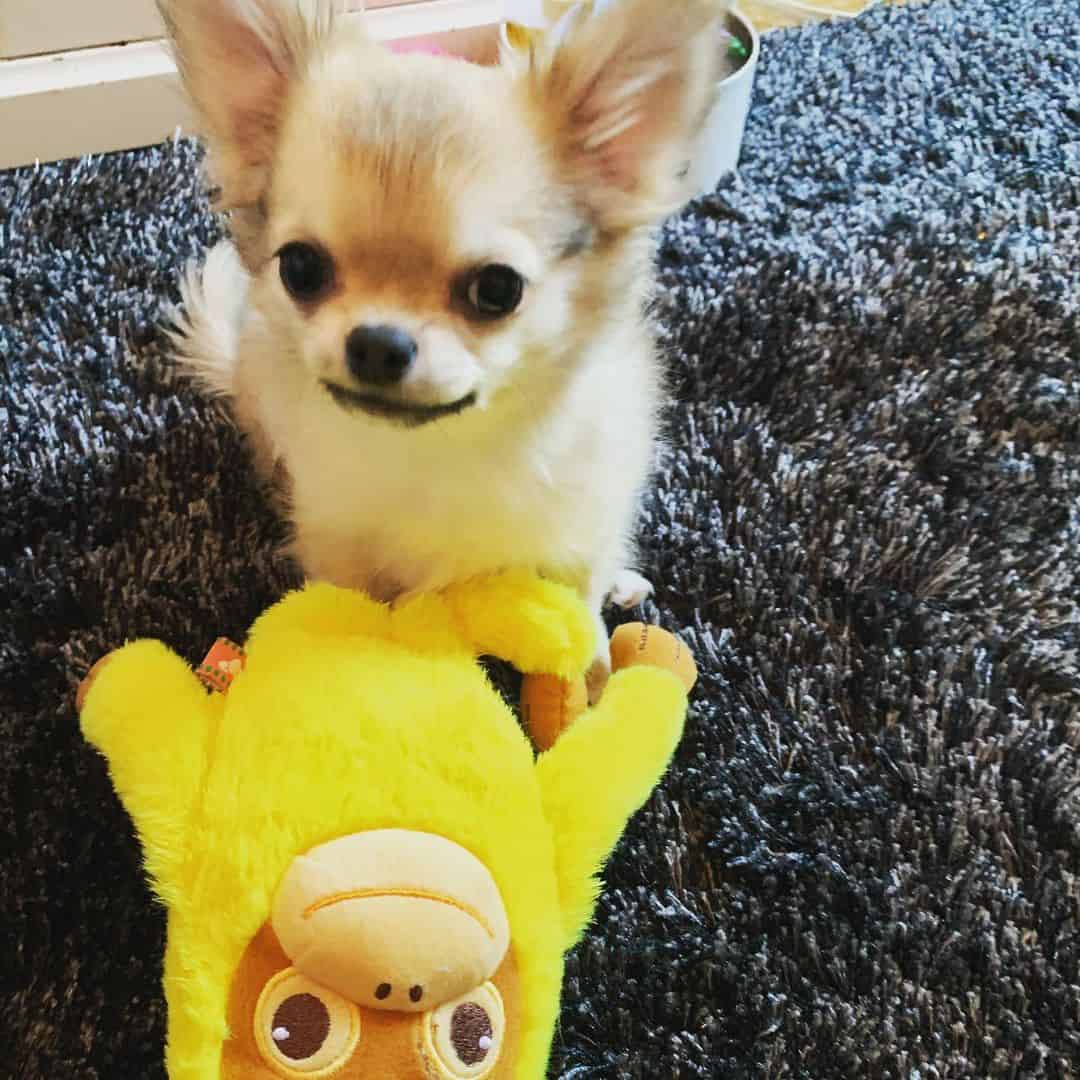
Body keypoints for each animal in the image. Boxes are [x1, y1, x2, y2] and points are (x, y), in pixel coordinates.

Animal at [162, 0, 725, 699]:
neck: (442, 451)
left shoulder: (581, 521)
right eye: (300, 269)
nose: (377, 344)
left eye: (497, 289)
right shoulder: (339, 544)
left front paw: (591, 683)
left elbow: (582, 602)